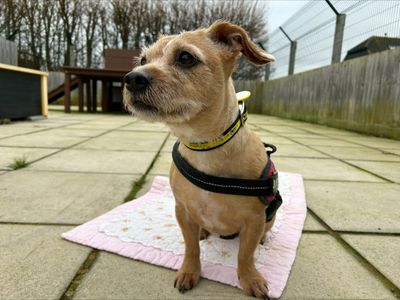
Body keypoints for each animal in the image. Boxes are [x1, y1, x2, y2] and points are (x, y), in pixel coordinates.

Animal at [123, 21, 276, 298]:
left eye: (186, 57)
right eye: (142, 60)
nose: (132, 78)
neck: (204, 146)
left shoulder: (254, 219)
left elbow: (245, 255)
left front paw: (250, 278)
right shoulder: (182, 211)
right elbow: (191, 247)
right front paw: (189, 271)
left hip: (269, 218)